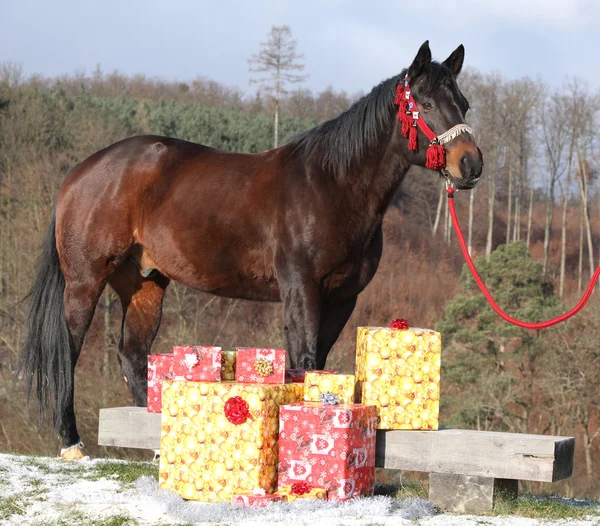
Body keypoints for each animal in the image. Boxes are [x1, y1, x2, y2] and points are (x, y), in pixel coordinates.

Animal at [21, 41, 486, 460]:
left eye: (464, 104)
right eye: (425, 102)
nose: (470, 164)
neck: (333, 185)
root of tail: (80, 172)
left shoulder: (342, 299)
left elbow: (317, 361)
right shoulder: (301, 288)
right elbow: (304, 357)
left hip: (144, 283)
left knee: (132, 355)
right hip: (85, 280)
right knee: (69, 350)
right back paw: (72, 443)